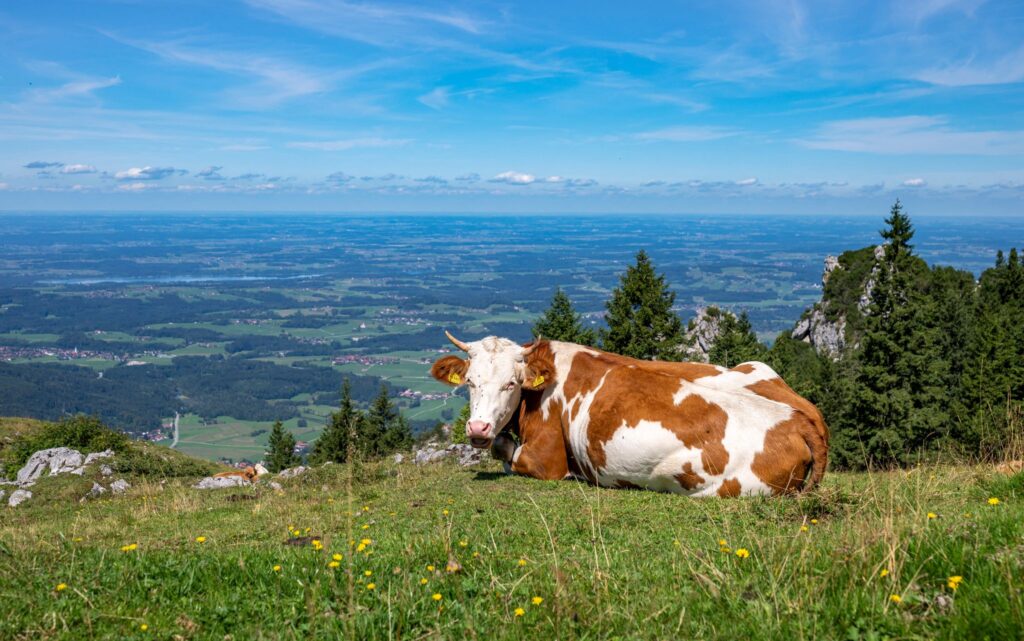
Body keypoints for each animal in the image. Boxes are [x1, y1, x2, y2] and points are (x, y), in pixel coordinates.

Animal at [431, 332, 828, 497]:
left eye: (510, 384)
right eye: (470, 382)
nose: (477, 427)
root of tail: (799, 417)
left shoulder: (546, 460)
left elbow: (504, 450)